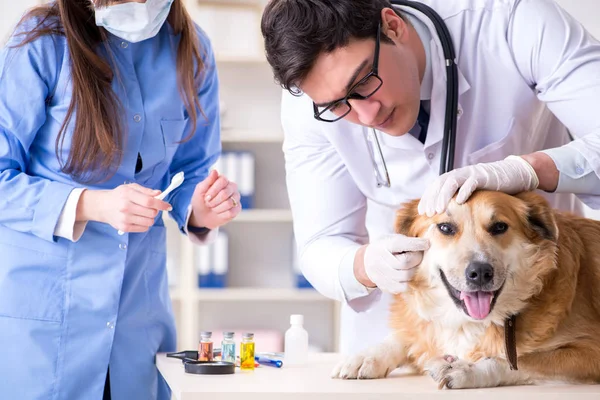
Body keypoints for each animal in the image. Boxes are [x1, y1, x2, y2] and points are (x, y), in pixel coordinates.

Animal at [332, 191, 600, 388]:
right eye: (445, 228)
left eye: (499, 227)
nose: (480, 272)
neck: (469, 323)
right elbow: (406, 334)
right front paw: (367, 356)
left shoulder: (591, 352)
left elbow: (519, 360)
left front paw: (468, 369)